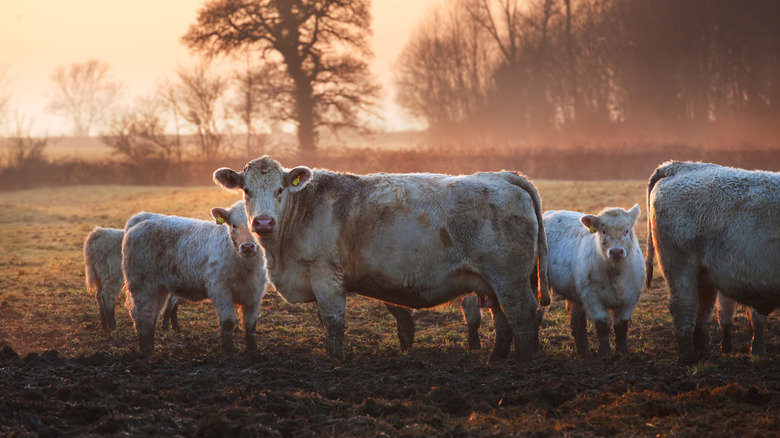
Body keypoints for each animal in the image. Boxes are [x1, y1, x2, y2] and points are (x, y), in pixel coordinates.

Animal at [123, 201, 267, 355]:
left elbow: (250, 324)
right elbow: (227, 322)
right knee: (142, 315)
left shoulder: (255, 294)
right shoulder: (220, 290)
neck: (246, 267)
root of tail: (143, 217)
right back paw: (146, 351)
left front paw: (253, 350)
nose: (247, 247)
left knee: (153, 314)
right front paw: (229, 351)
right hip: (142, 285)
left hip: (159, 288)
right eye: (234, 225)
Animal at [213, 156, 549, 363]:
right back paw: (495, 360)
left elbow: (333, 322)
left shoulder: (326, 276)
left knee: (521, 314)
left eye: (281, 189)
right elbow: (324, 321)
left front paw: (336, 360)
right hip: (494, 283)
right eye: (246, 189)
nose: (263, 222)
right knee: (503, 319)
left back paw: (520, 362)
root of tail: (503, 176)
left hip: (510, 279)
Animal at [540, 205, 645, 357]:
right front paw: (605, 352)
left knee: (577, 320)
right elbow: (603, 324)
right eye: (603, 231)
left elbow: (621, 325)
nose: (616, 251)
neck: (616, 274)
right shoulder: (592, 297)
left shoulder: (631, 298)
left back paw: (584, 352)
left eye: (626, 230)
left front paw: (622, 351)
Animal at [645, 161, 780, 364]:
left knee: (702, 310)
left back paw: (704, 352)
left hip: (704, 276)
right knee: (683, 306)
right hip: (680, 268)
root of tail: (676, 166)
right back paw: (688, 356)